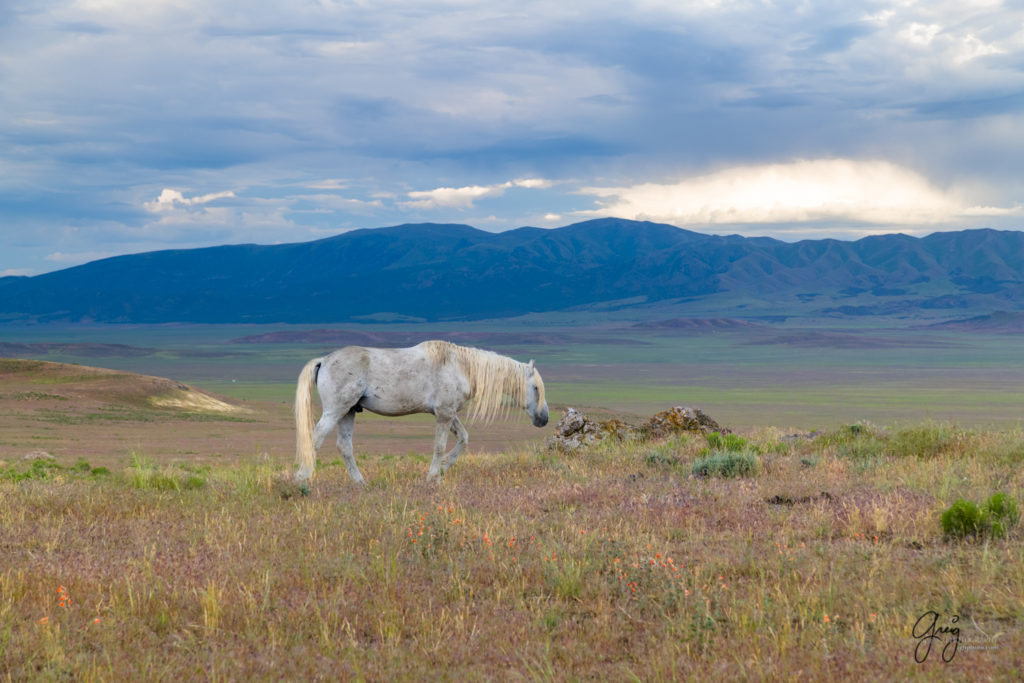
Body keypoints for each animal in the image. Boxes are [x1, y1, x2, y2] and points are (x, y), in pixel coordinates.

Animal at [292, 339, 548, 483]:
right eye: (535, 387)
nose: (544, 418)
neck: (460, 367)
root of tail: (324, 360)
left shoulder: (448, 414)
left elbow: (463, 438)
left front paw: (444, 468)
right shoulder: (444, 415)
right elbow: (439, 446)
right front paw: (433, 476)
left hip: (348, 412)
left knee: (344, 447)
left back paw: (359, 482)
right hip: (335, 411)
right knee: (315, 439)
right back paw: (301, 480)